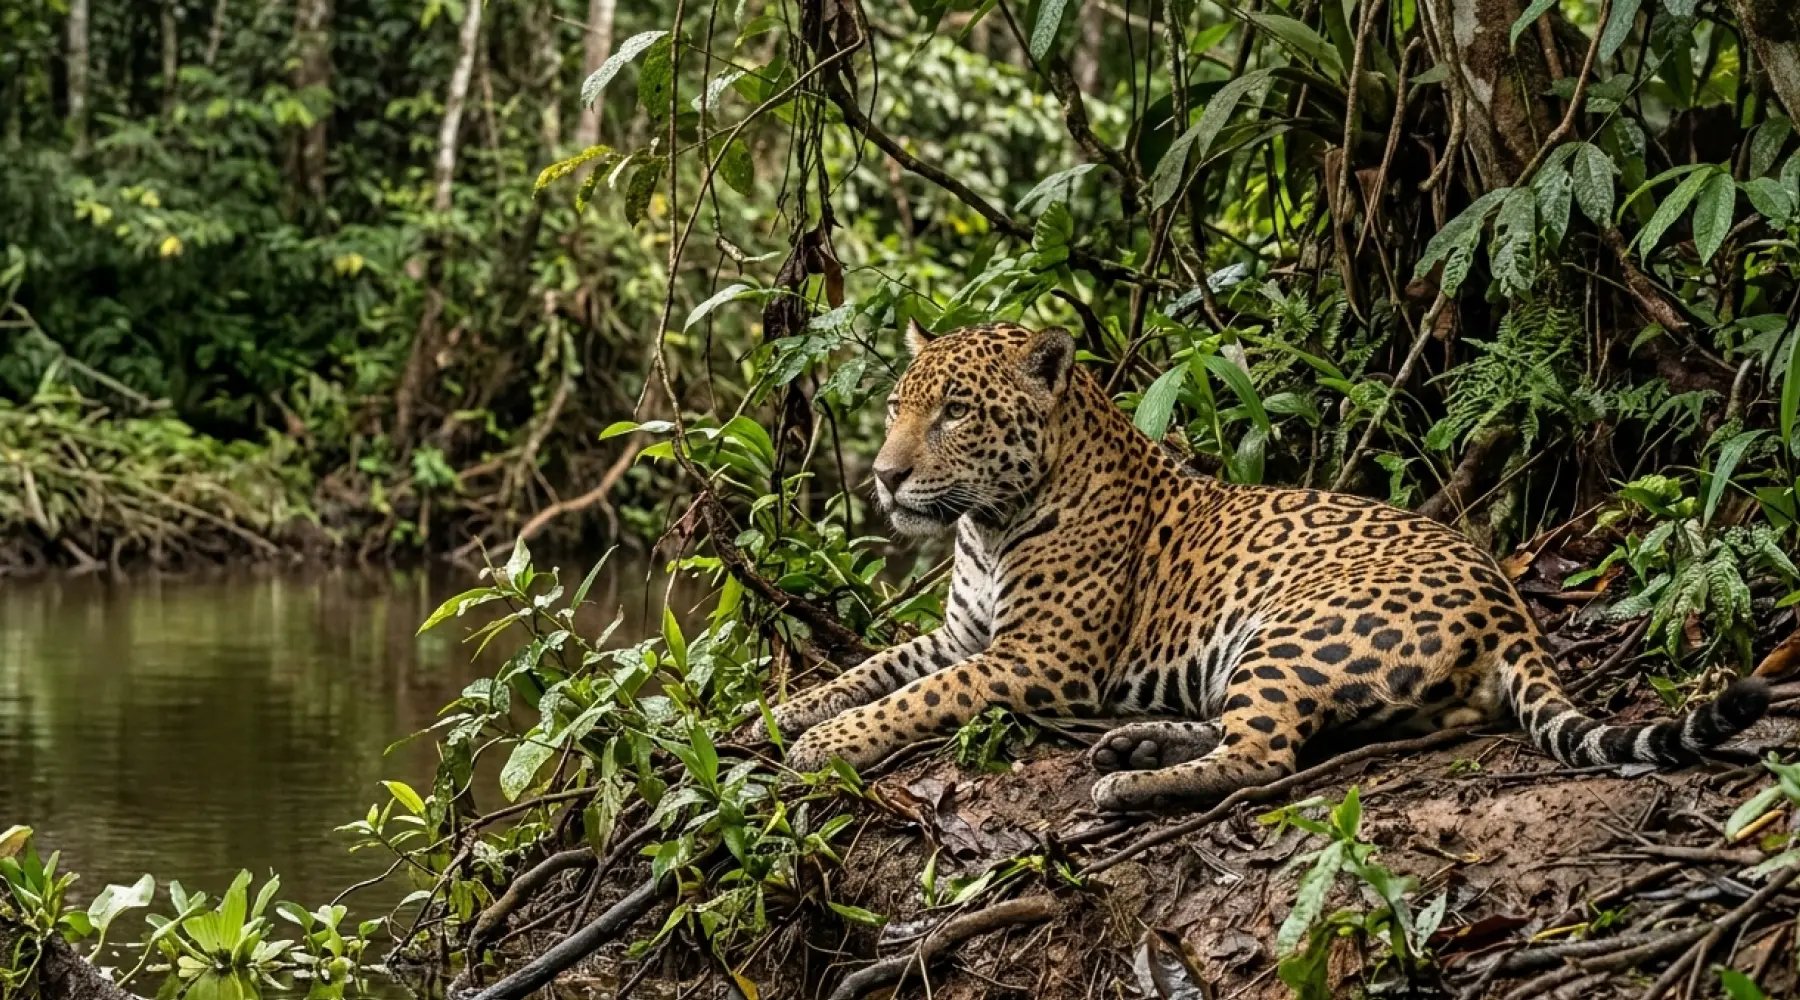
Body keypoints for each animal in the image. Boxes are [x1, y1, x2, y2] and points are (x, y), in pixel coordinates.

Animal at [762, 321, 1770, 811]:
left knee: (1264, 753)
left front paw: (824, 744)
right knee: (1276, 733)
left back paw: (1127, 781)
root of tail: (1511, 604)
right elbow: (878, 665)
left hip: (1296, 627)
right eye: (897, 405)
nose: (885, 477)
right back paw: (1135, 744)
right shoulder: (963, 634)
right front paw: (789, 709)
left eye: (956, 413)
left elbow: (915, 697)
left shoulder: (1036, 660)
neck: (986, 525)